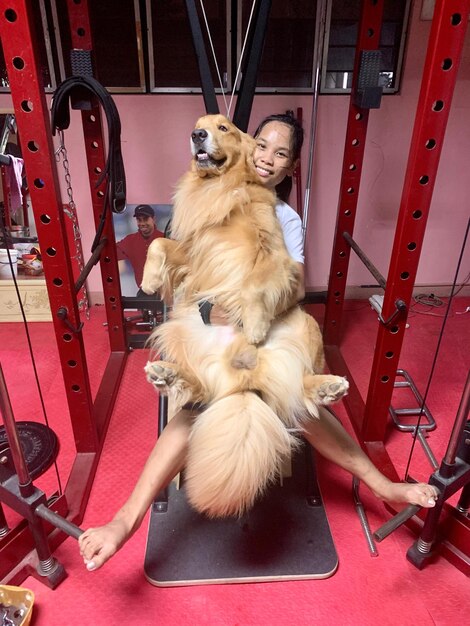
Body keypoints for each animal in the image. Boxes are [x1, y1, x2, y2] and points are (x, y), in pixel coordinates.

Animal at [141, 114, 346, 516]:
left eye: (224, 127)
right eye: (198, 124)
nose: (197, 135)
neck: (222, 187)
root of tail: (247, 382)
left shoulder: (275, 256)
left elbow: (253, 285)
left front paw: (253, 327)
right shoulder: (193, 249)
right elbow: (159, 243)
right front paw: (149, 279)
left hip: (306, 326)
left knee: (301, 382)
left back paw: (326, 386)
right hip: (179, 330)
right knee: (200, 386)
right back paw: (167, 375)